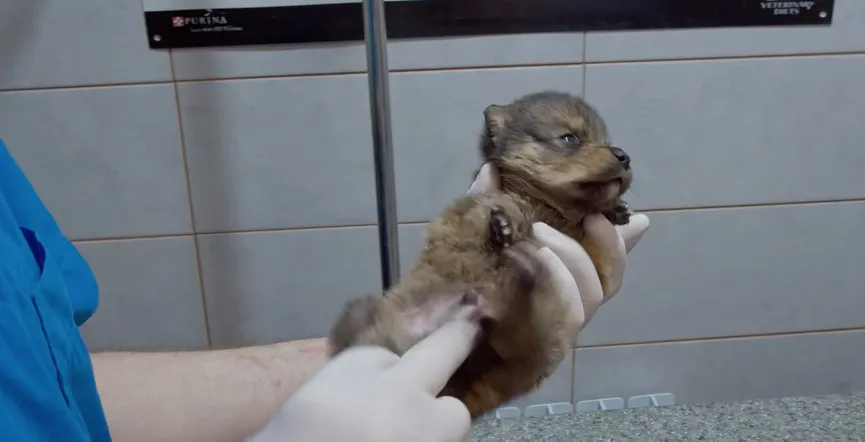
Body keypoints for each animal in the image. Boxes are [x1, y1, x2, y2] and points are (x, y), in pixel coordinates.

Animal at [328, 90, 632, 418]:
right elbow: (505, 206)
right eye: (570, 138)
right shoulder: (485, 205)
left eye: (605, 139)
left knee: (516, 334)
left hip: (531, 346)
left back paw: (525, 271)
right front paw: (505, 222)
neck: (553, 209)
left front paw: (616, 210)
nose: (624, 156)